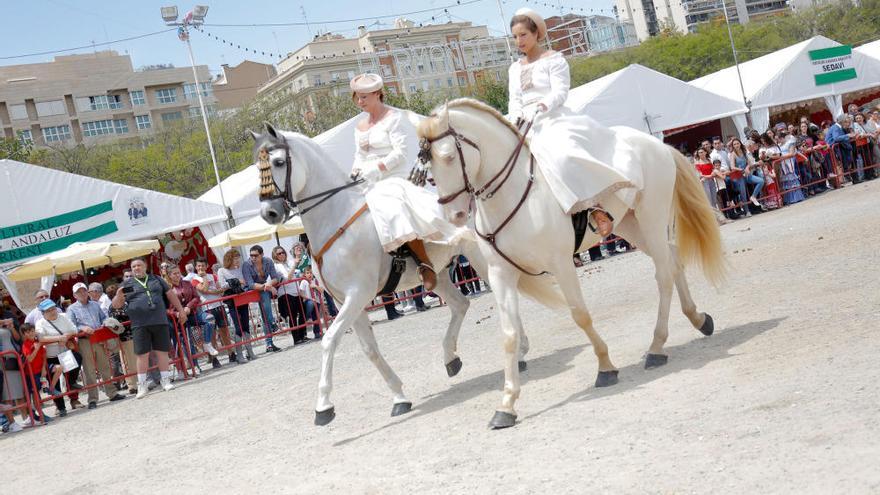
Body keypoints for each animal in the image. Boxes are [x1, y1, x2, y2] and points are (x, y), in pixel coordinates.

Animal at [253, 123, 556, 426]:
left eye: (278, 162)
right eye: (258, 166)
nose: (269, 213)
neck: (336, 220)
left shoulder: (357, 294)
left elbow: (329, 340)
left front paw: (323, 406)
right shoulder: (344, 302)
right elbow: (369, 349)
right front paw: (399, 397)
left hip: (482, 260)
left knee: (504, 303)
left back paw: (519, 354)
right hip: (439, 275)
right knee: (461, 304)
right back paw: (451, 358)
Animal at [416, 99, 724, 428]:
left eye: (448, 157)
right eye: (429, 171)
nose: (455, 216)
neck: (514, 195)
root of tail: (657, 144)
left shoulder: (562, 263)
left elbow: (580, 316)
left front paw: (605, 367)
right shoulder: (500, 273)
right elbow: (509, 335)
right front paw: (506, 405)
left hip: (651, 216)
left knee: (664, 273)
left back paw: (656, 348)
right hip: (630, 225)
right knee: (672, 259)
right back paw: (698, 319)